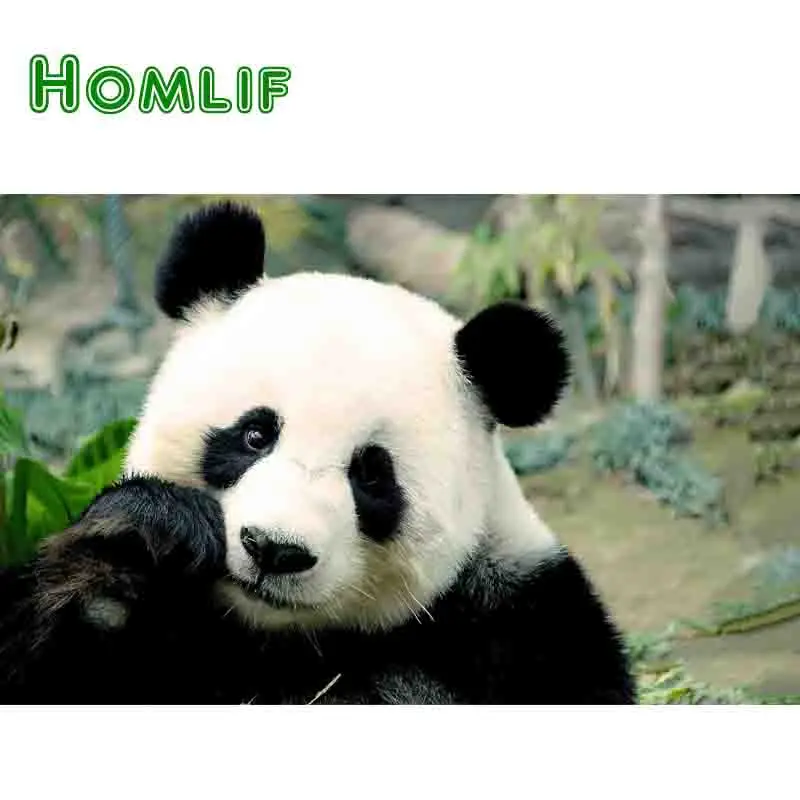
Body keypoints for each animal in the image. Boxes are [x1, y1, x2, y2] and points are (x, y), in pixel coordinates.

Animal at [0, 201, 636, 705]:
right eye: (255, 435)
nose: (275, 550)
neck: (274, 636)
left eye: (371, 475)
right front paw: (145, 538)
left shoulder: (523, 624)